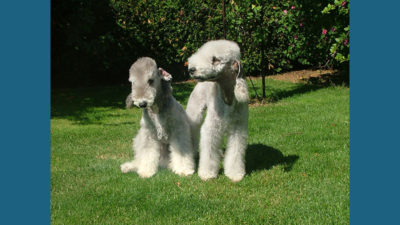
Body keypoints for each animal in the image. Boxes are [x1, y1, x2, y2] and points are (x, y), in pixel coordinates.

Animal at [186, 39, 248, 182]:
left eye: (215, 59)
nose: (191, 70)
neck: (228, 97)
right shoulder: (211, 127)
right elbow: (208, 152)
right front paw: (207, 173)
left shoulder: (238, 128)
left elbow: (235, 151)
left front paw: (235, 173)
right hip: (194, 113)